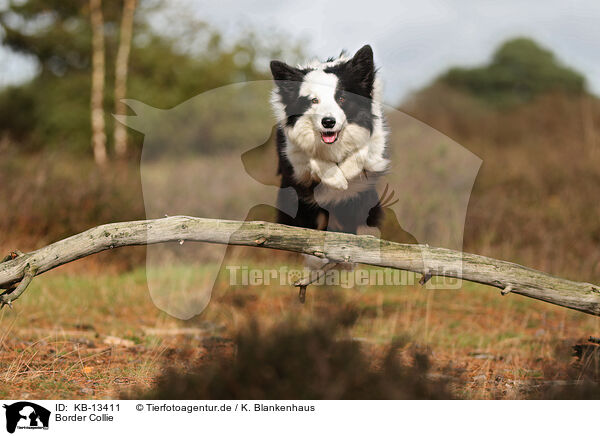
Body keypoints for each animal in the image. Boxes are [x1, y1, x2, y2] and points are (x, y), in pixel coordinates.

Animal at [270, 44, 390, 238]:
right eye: (314, 101)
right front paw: (336, 179)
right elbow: (310, 156)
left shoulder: (376, 144)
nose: (328, 122)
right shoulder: (292, 157)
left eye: (341, 98)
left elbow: (363, 151)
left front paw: (345, 175)